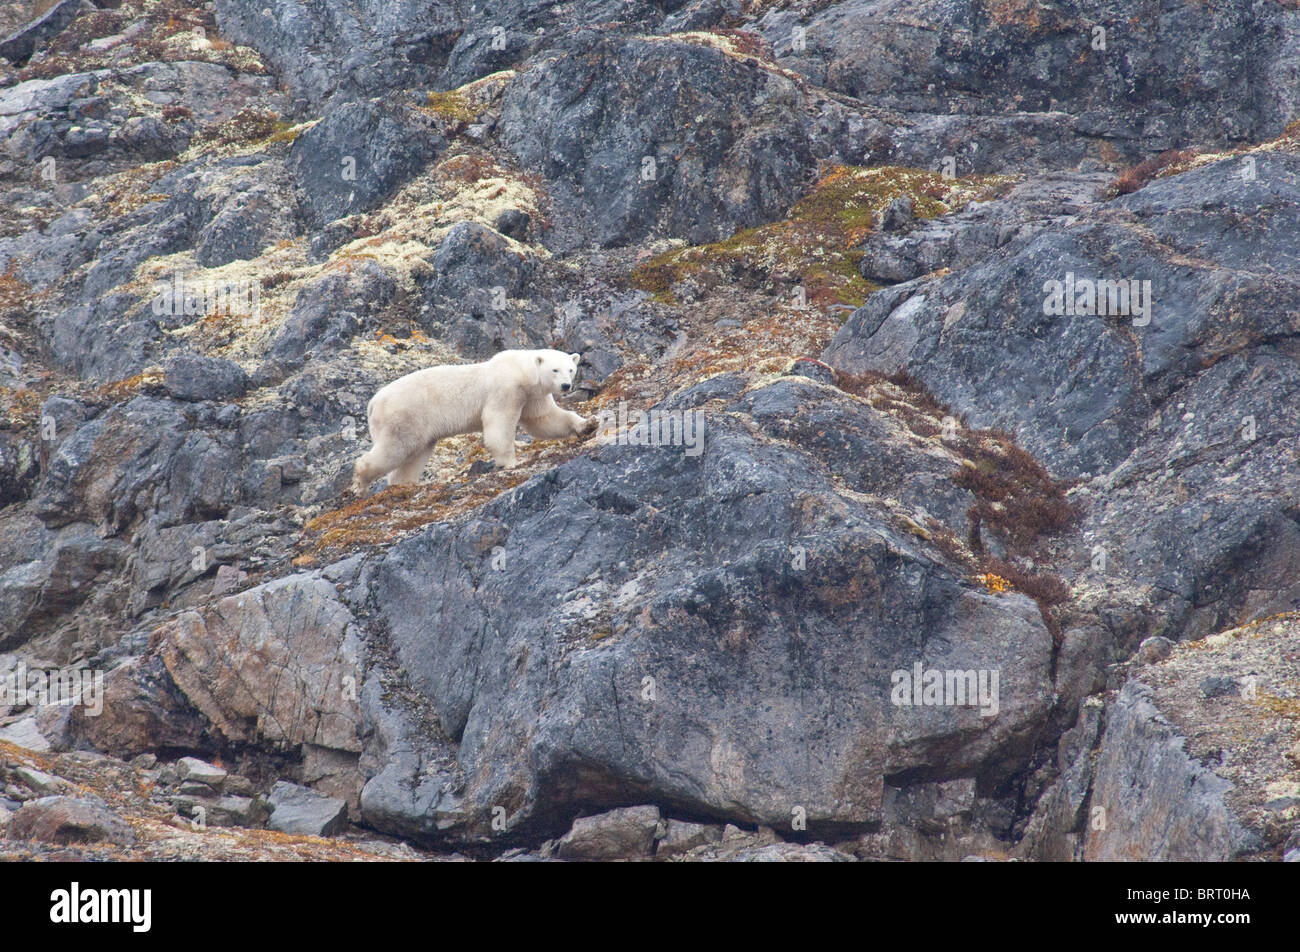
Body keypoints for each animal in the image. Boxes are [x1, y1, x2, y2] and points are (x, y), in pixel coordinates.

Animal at [351, 348, 596, 494]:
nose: (565, 386)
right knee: (395, 448)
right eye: (554, 369)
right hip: (404, 415)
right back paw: (361, 484)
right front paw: (510, 462)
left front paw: (587, 424)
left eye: (571, 369)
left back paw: (404, 484)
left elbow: (545, 419)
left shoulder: (531, 396)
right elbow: (498, 422)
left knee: (414, 455)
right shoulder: (506, 389)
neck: (520, 370)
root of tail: (373, 402)